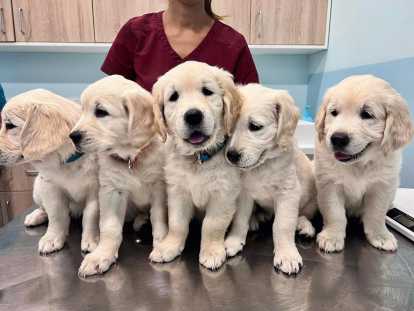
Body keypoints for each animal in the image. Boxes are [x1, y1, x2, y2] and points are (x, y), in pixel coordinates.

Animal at [0, 89, 99, 255]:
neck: (68, 162)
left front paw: (92, 240)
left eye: (10, 125)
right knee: (43, 208)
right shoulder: (50, 188)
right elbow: (56, 215)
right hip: (38, 188)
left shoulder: (97, 189)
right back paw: (36, 216)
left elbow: (91, 216)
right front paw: (52, 239)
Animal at [71, 75, 167, 278]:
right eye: (82, 110)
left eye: (100, 112)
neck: (132, 157)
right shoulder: (112, 191)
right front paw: (101, 255)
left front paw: (162, 244)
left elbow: (159, 219)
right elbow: (110, 227)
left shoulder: (159, 188)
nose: (72, 136)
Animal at [149, 61, 241, 270]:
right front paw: (169, 246)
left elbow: (212, 225)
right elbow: (177, 223)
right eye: (173, 97)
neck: (198, 158)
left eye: (207, 91)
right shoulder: (177, 191)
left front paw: (212, 252)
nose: (193, 115)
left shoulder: (223, 194)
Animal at [223, 84, 316, 276]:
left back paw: (304, 226)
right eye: (230, 126)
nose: (231, 155)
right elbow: (239, 219)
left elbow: (282, 225)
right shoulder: (244, 192)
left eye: (255, 126)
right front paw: (234, 240)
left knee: (304, 214)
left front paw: (287, 255)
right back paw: (256, 218)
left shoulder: (288, 193)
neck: (263, 165)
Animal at [316, 75, 412, 254]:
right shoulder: (329, 185)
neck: (358, 165)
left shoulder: (382, 187)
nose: (337, 138)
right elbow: (335, 213)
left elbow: (376, 214)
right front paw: (331, 236)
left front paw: (381, 236)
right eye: (334, 113)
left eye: (366, 114)